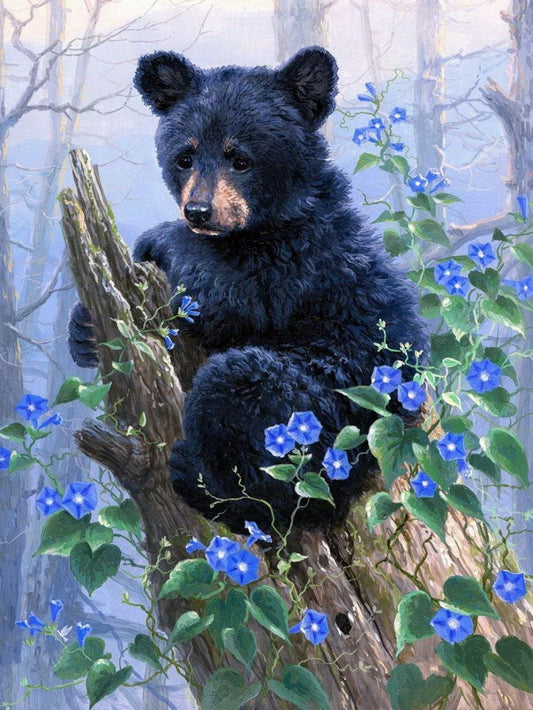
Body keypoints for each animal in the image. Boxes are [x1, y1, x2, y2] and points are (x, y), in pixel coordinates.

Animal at [68, 47, 427, 534]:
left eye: (241, 159)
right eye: (184, 157)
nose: (198, 211)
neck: (265, 225)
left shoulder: (298, 261)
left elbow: (233, 297)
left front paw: (157, 240)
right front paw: (84, 330)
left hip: (328, 415)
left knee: (268, 444)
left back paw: (206, 482)